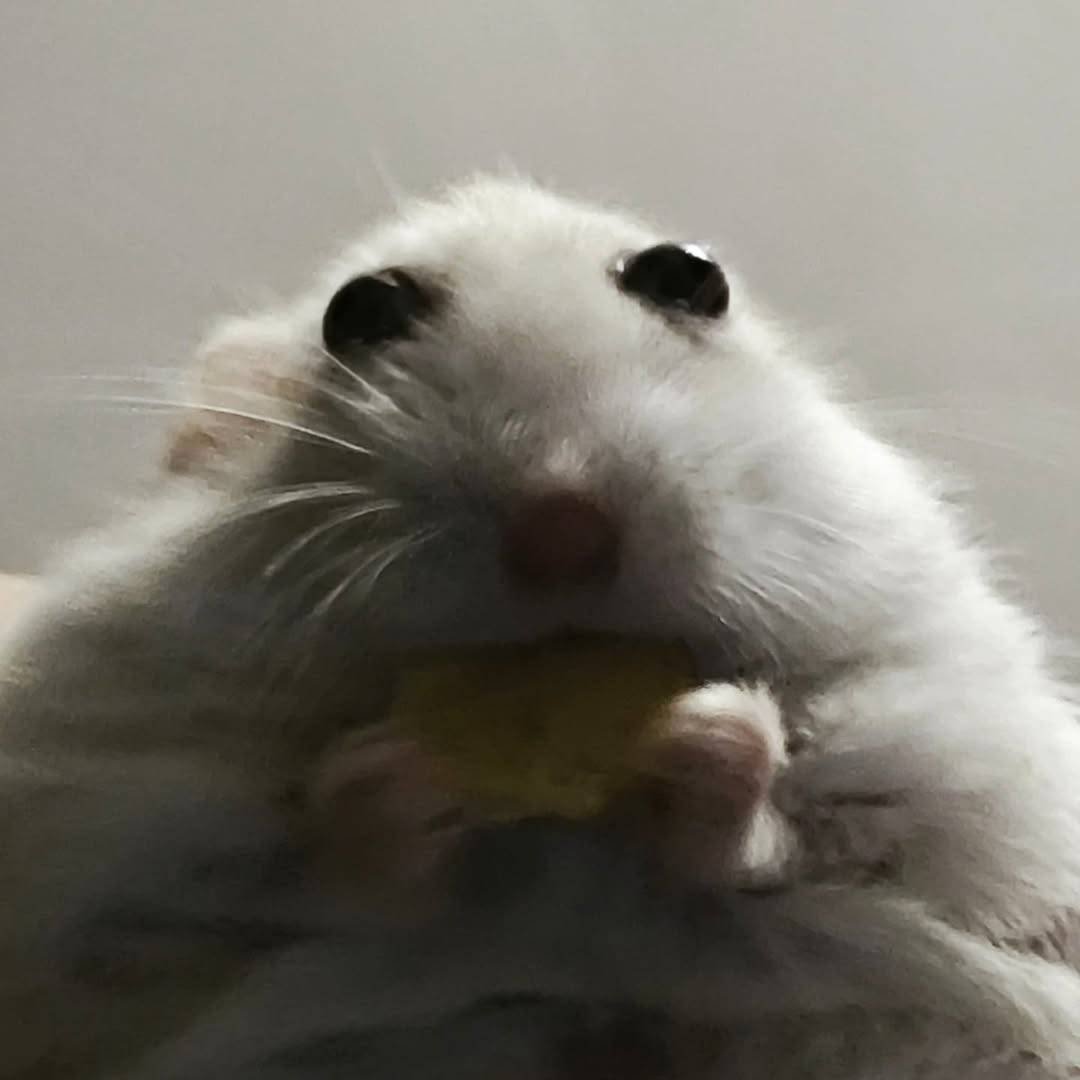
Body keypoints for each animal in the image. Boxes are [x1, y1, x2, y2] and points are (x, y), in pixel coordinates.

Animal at [3, 177, 1080, 1080]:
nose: (565, 535)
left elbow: (804, 835)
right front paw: (399, 770)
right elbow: (324, 872)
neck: (565, 845)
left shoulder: (965, 756)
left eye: (687, 278)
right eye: (360, 312)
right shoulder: (108, 856)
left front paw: (712, 737)